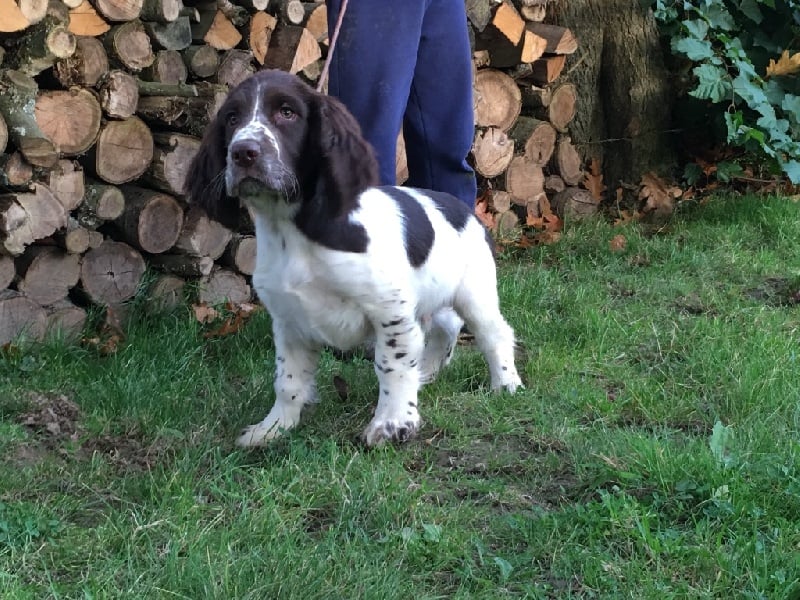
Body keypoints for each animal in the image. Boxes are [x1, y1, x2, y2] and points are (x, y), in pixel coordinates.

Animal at [188, 69, 524, 446]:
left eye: (287, 113)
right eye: (232, 118)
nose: (243, 152)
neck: (293, 229)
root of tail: (466, 210)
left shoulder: (390, 309)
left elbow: (392, 365)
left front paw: (392, 423)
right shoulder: (289, 319)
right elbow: (288, 381)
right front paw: (274, 428)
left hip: (474, 292)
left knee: (494, 333)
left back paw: (505, 383)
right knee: (446, 327)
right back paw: (428, 371)